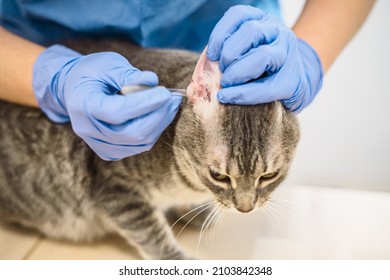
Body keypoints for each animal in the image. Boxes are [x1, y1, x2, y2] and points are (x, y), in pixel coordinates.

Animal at [0, 38, 298, 260]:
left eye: (269, 176)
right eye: (219, 176)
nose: (245, 209)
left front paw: (193, 211)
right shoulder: (116, 190)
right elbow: (152, 233)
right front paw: (178, 261)